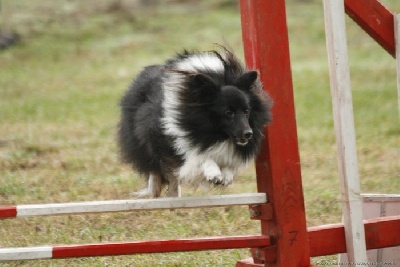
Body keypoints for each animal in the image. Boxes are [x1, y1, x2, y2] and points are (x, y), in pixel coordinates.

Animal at [117, 48, 270, 199]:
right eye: (228, 112)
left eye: (247, 111)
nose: (248, 133)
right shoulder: (176, 142)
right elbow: (199, 158)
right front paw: (213, 173)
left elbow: (231, 162)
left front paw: (226, 175)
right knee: (155, 168)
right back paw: (155, 189)